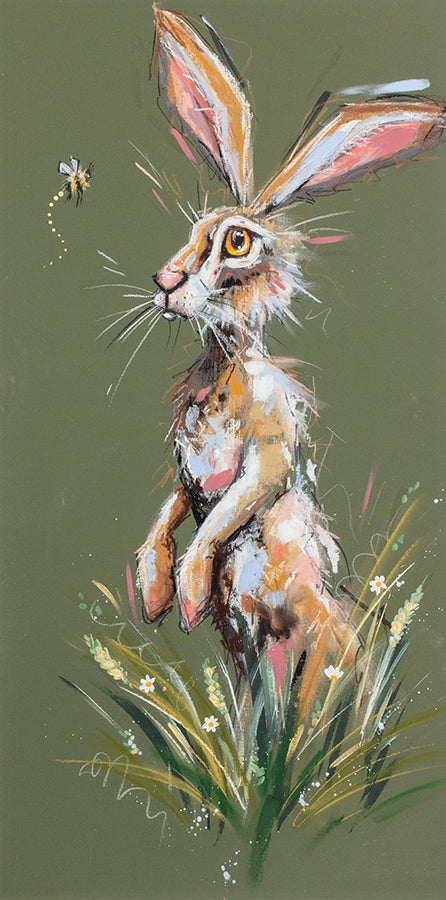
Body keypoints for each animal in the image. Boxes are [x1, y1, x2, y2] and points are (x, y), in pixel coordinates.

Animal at [136, 7, 444, 707]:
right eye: (194, 230)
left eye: (236, 242)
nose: (165, 282)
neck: (222, 365)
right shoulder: (182, 472)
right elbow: (171, 510)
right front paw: (153, 590)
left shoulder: (270, 448)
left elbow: (228, 507)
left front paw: (186, 595)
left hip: (304, 646)